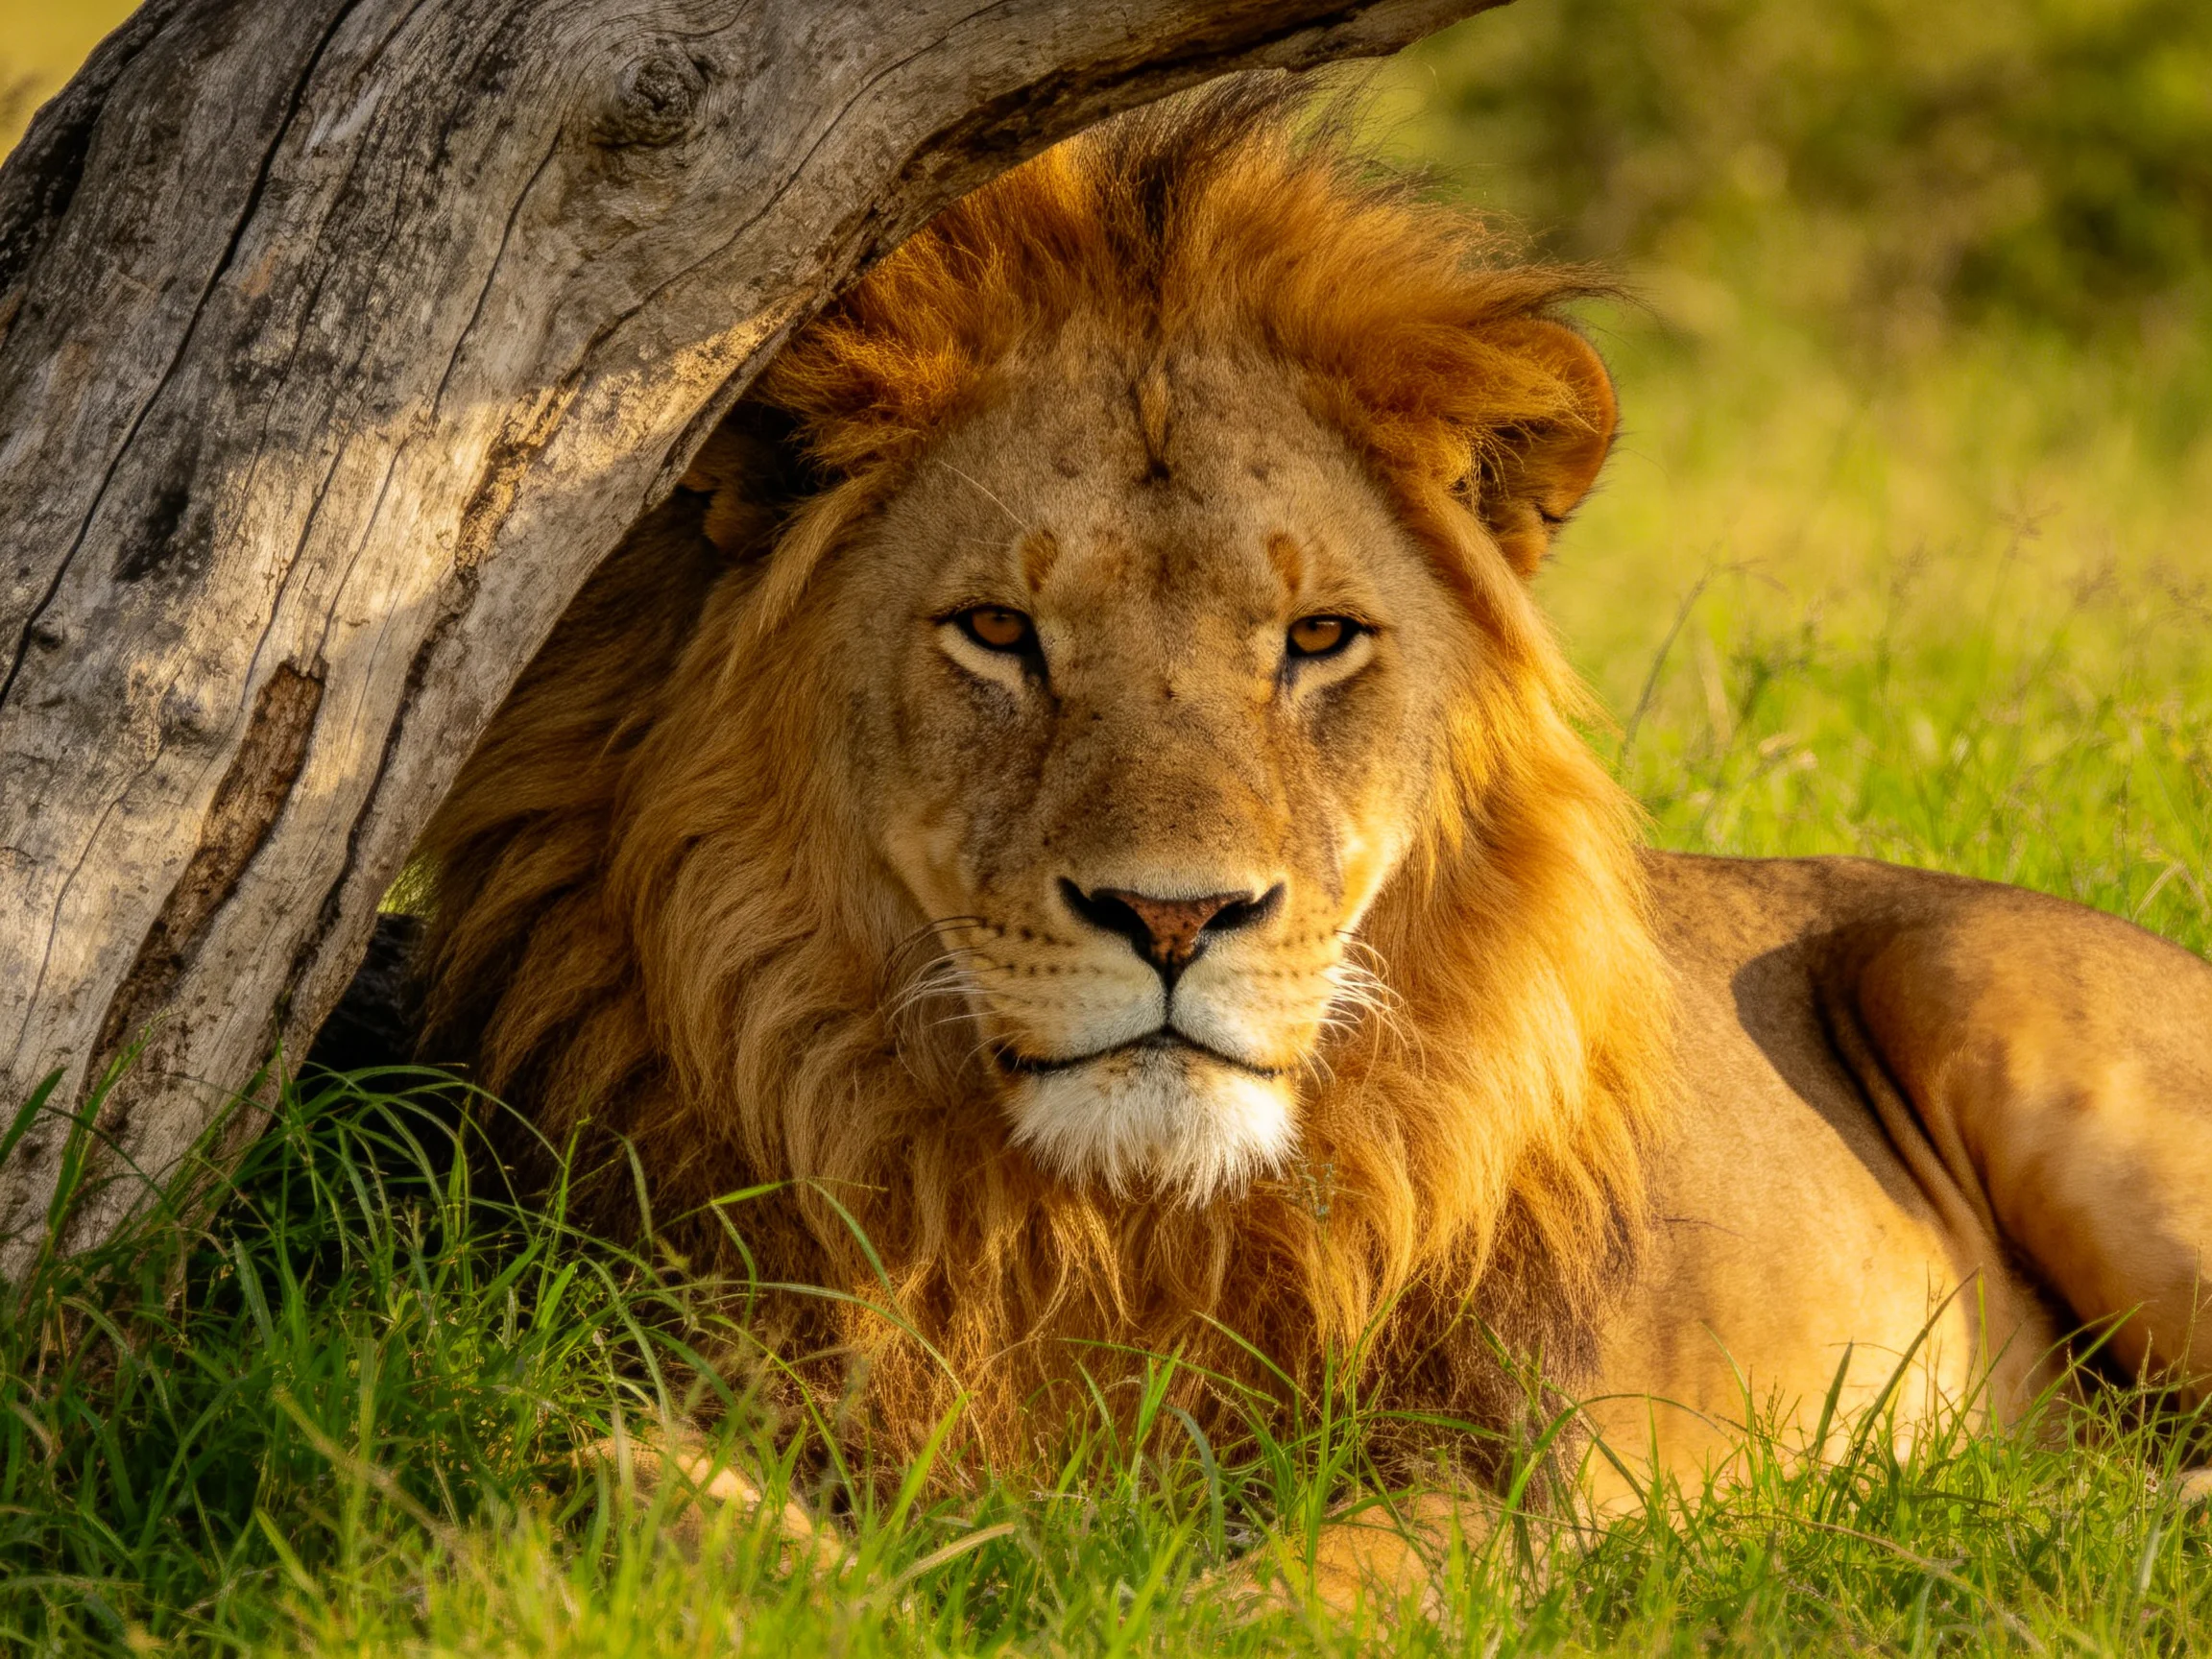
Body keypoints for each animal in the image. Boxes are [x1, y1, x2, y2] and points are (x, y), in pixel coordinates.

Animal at [408, 82, 2212, 1590]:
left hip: (1999, 1003)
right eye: (996, 631)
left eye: (1318, 638)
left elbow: (1277, 1590)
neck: (1107, 1225)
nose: (1172, 918)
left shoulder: (1503, 1475)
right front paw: (706, 1520)